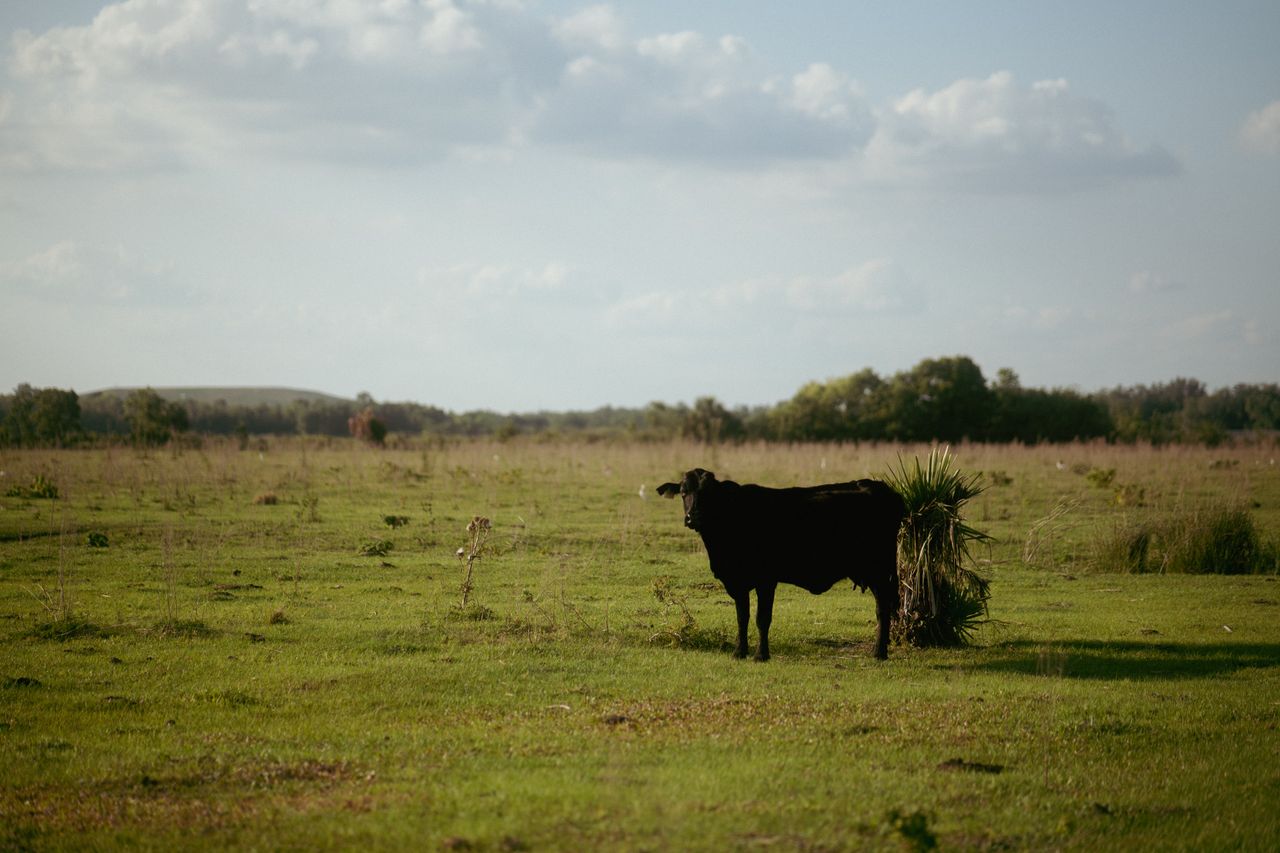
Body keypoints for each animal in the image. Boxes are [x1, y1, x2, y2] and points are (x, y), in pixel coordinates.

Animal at [657, 468, 905, 661]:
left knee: (883, 609)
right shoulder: (737, 582)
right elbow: (742, 617)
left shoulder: (766, 580)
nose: (692, 517)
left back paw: (879, 652)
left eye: (708, 493)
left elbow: (762, 618)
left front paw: (761, 655)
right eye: (683, 493)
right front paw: (739, 652)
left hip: (880, 571)